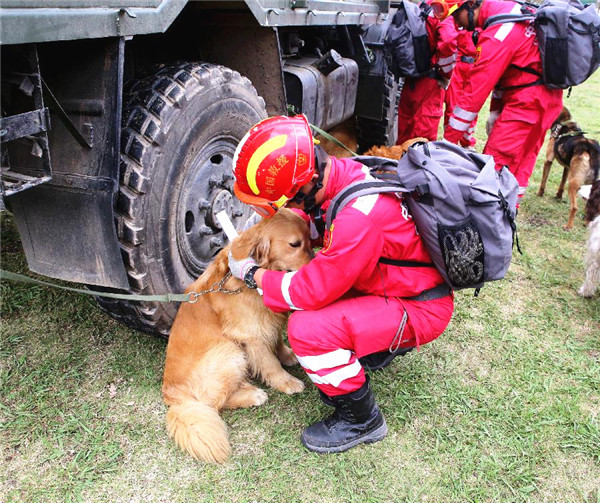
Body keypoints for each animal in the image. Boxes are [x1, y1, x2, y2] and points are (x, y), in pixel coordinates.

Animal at [162, 209, 312, 464]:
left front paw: (287, 355)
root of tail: (173, 398)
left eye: (311, 239)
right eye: (295, 244)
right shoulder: (250, 334)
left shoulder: (266, 319)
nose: (315, 263)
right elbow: (270, 363)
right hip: (228, 351)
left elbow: (276, 339)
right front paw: (287, 382)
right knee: (216, 403)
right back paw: (253, 395)